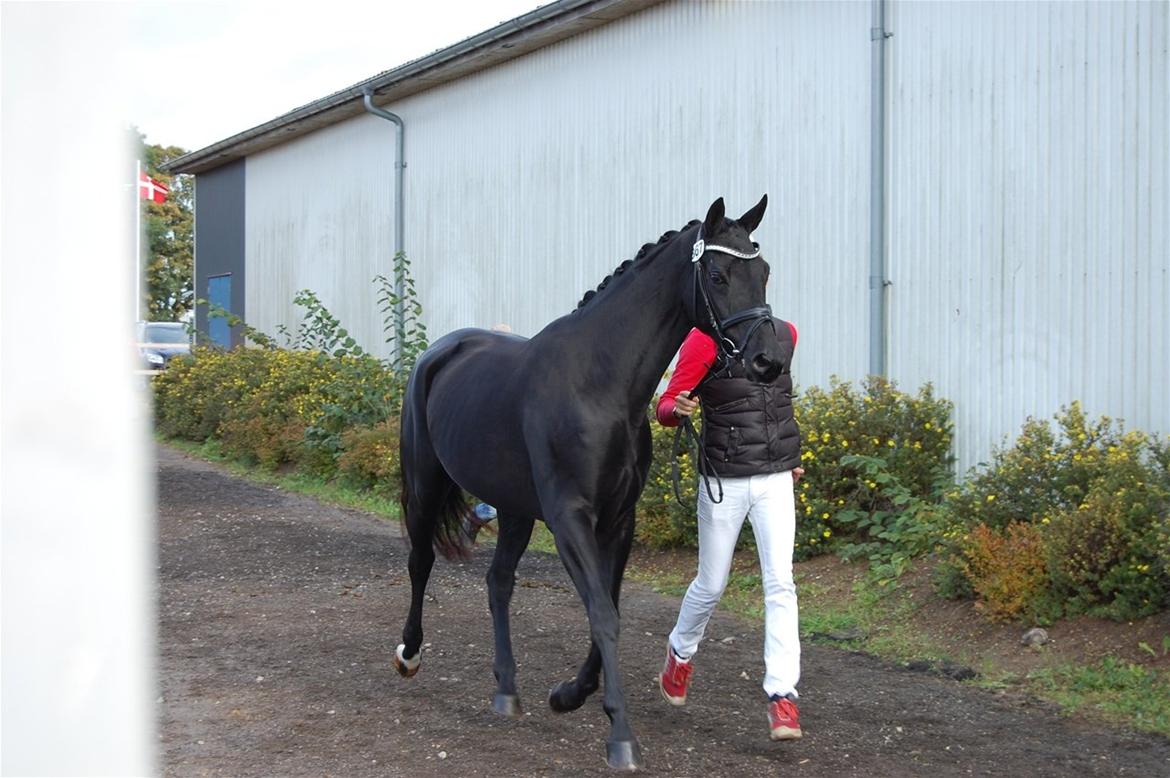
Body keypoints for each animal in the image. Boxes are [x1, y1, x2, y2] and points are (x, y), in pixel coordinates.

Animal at [395, 195, 786, 772]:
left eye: (763, 272)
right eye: (717, 275)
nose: (768, 360)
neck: (600, 384)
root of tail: (438, 351)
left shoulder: (617, 521)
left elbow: (611, 607)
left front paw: (569, 695)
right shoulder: (569, 519)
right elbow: (602, 613)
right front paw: (620, 735)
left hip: (514, 509)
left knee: (498, 581)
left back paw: (506, 689)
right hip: (426, 485)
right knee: (421, 562)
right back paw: (409, 653)